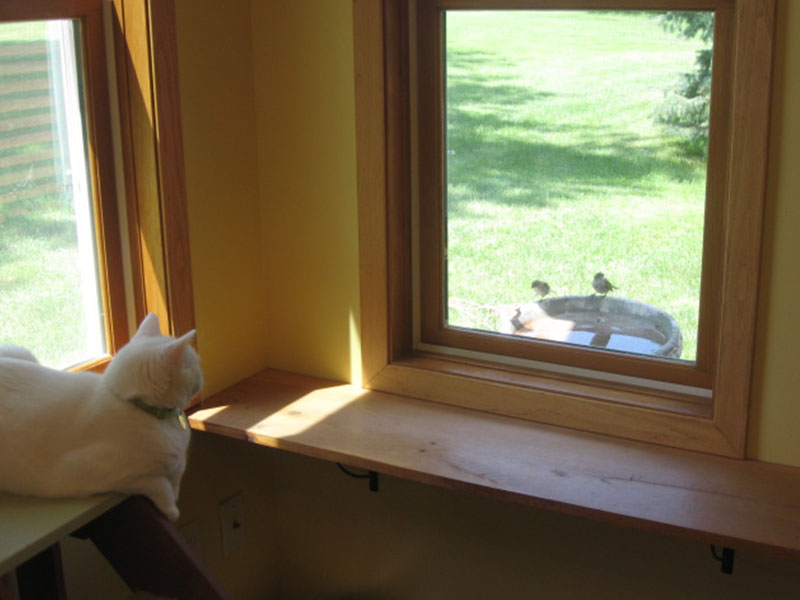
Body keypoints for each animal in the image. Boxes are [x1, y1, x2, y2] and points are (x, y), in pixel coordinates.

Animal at [0, 314, 203, 520]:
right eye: (195, 366)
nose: (202, 377)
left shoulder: (178, 463)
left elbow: (177, 473)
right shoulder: (103, 476)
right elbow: (160, 484)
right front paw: (172, 510)